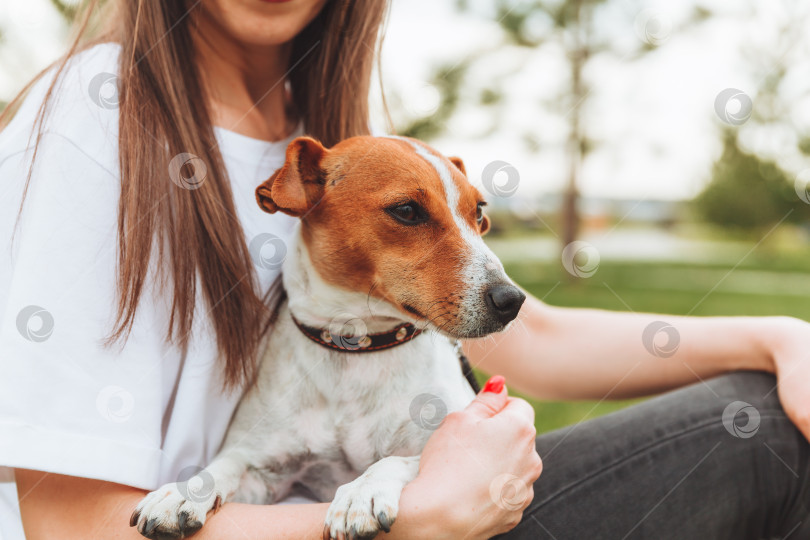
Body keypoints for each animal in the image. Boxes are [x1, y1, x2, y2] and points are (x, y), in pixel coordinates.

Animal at [130, 135, 528, 540]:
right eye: (406, 210)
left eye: (478, 212)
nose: (512, 301)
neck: (358, 346)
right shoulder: (265, 471)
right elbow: (228, 464)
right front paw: (184, 491)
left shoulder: (449, 444)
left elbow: (399, 460)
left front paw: (361, 492)